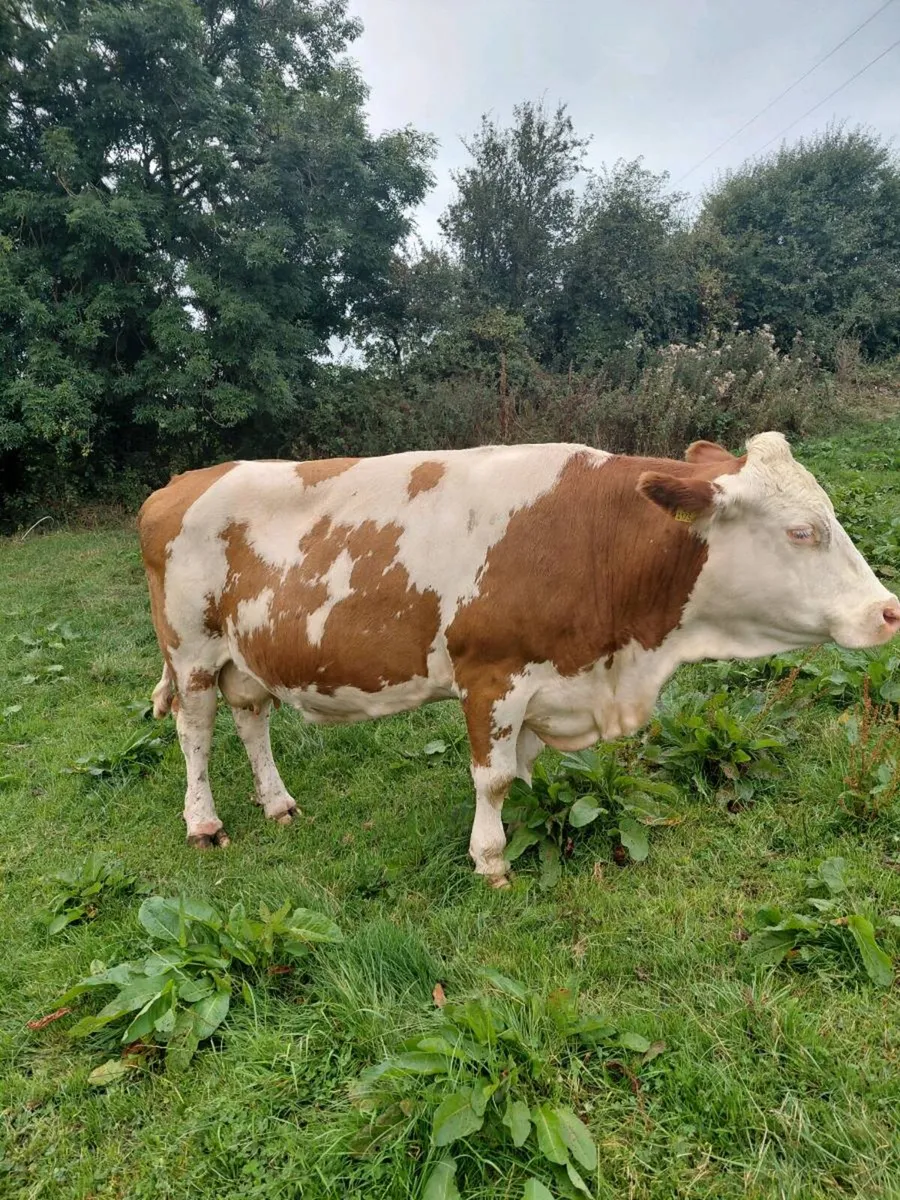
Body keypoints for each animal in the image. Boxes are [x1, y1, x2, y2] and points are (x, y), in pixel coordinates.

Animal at [137, 433, 900, 885]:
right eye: (801, 532)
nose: (888, 611)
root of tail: (178, 482)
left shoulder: (548, 682)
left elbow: (527, 774)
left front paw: (530, 829)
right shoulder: (491, 678)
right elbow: (495, 777)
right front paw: (492, 859)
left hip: (245, 653)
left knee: (251, 718)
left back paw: (278, 803)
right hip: (191, 647)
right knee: (195, 730)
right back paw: (204, 823)